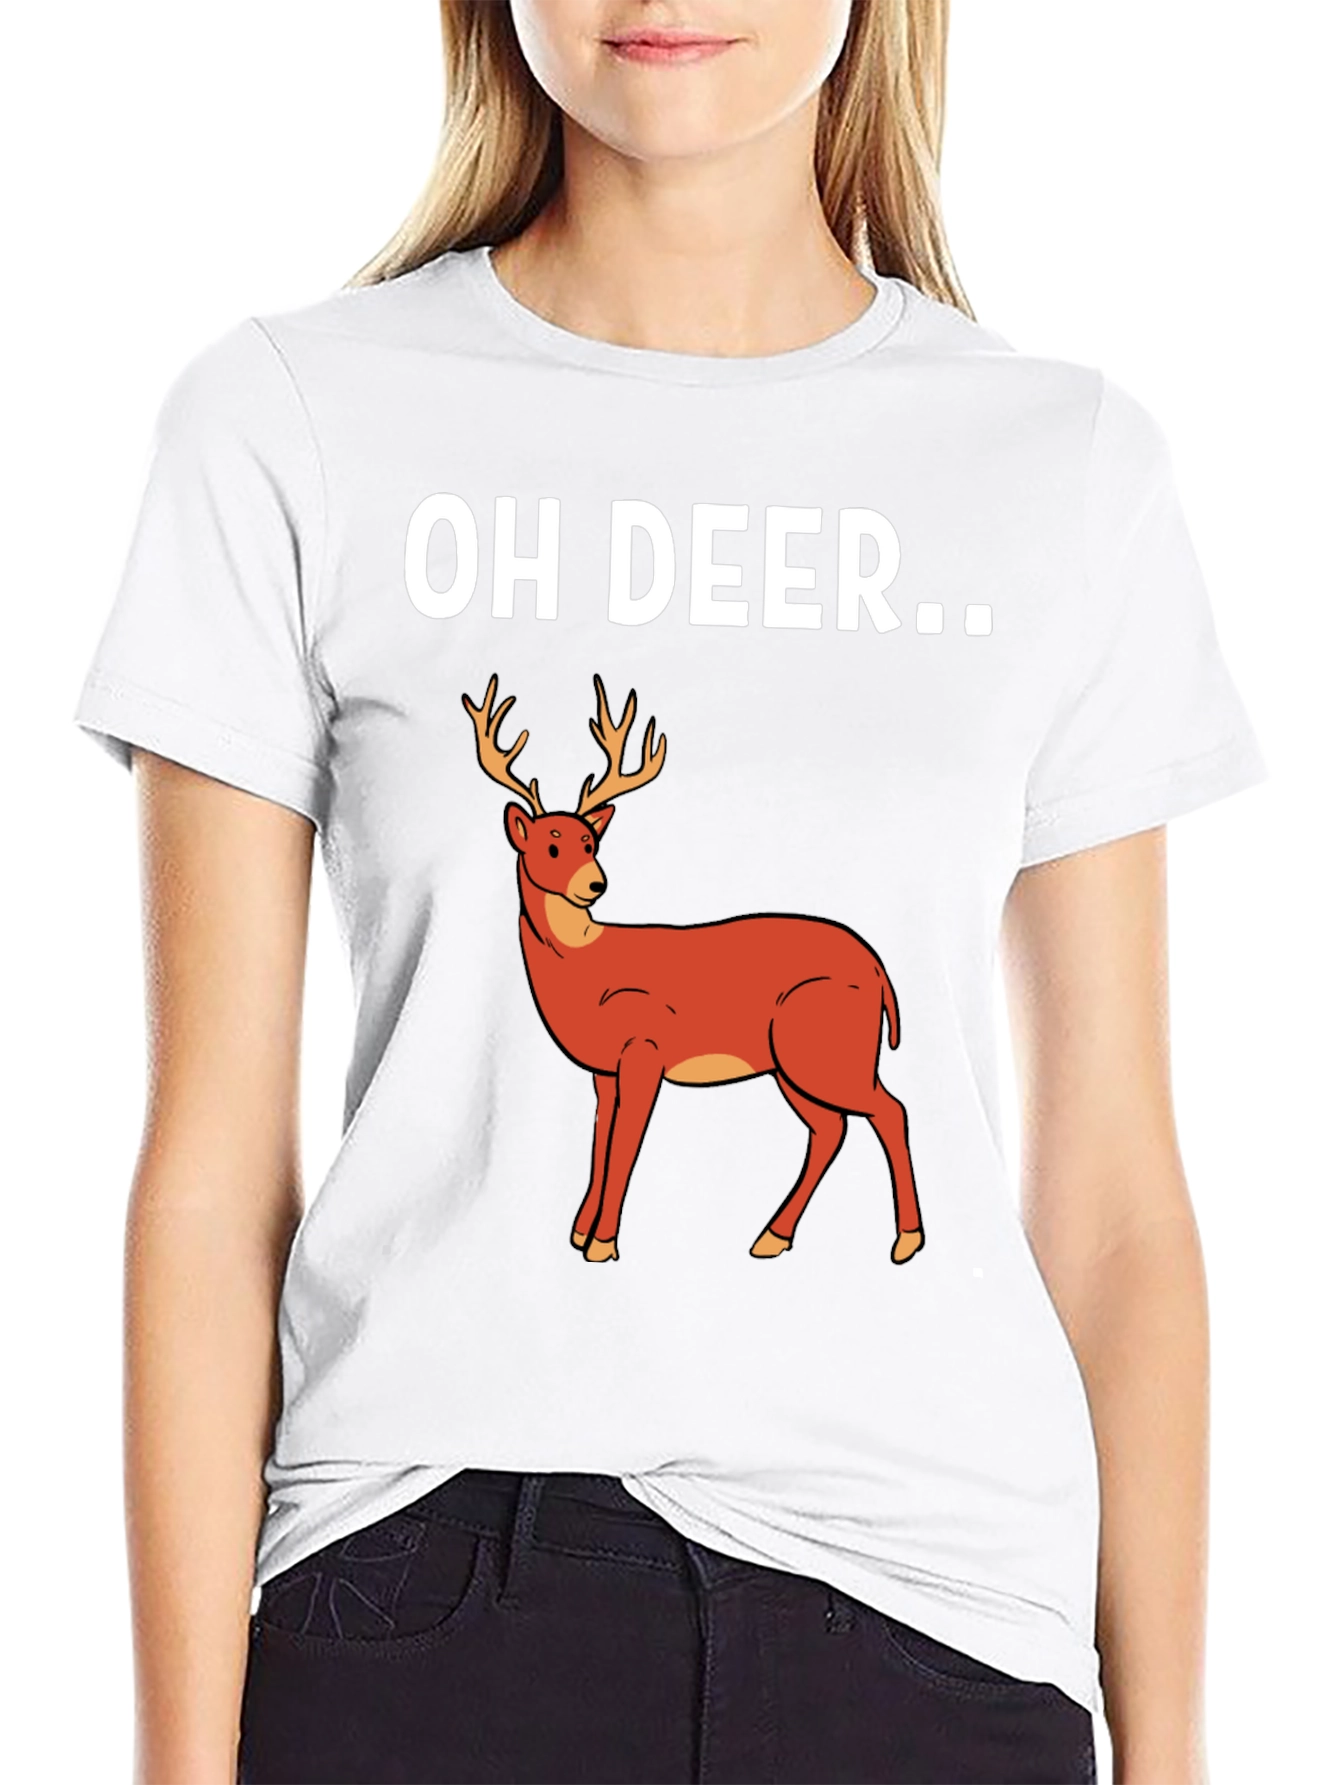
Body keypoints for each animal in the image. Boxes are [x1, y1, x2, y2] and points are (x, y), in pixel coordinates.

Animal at [462, 672, 924, 1266]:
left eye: (590, 841)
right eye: (551, 845)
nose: (596, 883)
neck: (585, 969)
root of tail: (879, 970)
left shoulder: (644, 1048)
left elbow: (626, 1146)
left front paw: (603, 1243)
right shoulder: (603, 1070)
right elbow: (599, 1140)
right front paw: (580, 1232)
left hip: (827, 1050)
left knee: (889, 1111)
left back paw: (906, 1240)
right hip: (791, 1063)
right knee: (831, 1128)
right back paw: (772, 1236)